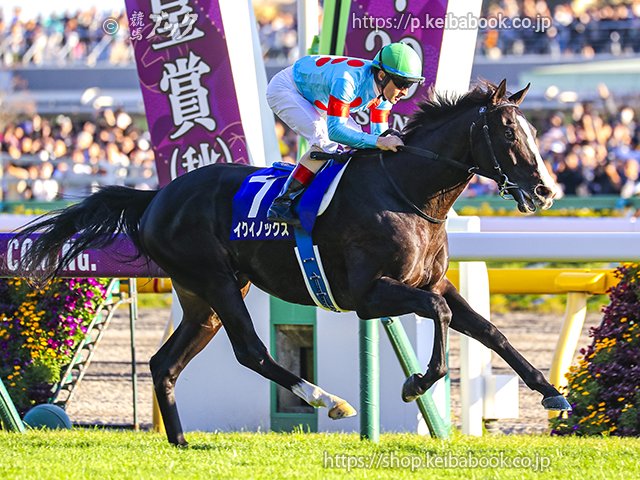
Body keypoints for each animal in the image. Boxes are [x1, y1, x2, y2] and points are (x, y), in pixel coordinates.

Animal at [16, 79, 570, 446]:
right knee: (251, 352)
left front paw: (551, 393)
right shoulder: (368, 294)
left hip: (204, 297)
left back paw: (181, 442)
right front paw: (415, 382)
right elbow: (442, 314)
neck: (408, 193)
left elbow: (487, 329)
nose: (545, 191)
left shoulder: (433, 281)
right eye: (508, 133)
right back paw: (329, 400)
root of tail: (156, 197)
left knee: (163, 363)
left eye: (533, 132)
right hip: (217, 283)